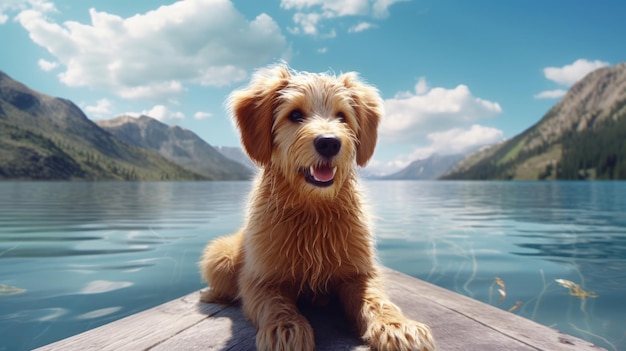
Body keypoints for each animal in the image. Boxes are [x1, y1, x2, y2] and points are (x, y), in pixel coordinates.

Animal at [200, 64, 434, 351]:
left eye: (342, 116)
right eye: (295, 115)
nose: (329, 143)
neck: (313, 212)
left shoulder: (359, 272)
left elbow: (375, 298)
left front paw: (397, 326)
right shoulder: (259, 277)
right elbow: (274, 303)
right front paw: (285, 328)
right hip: (220, 256)